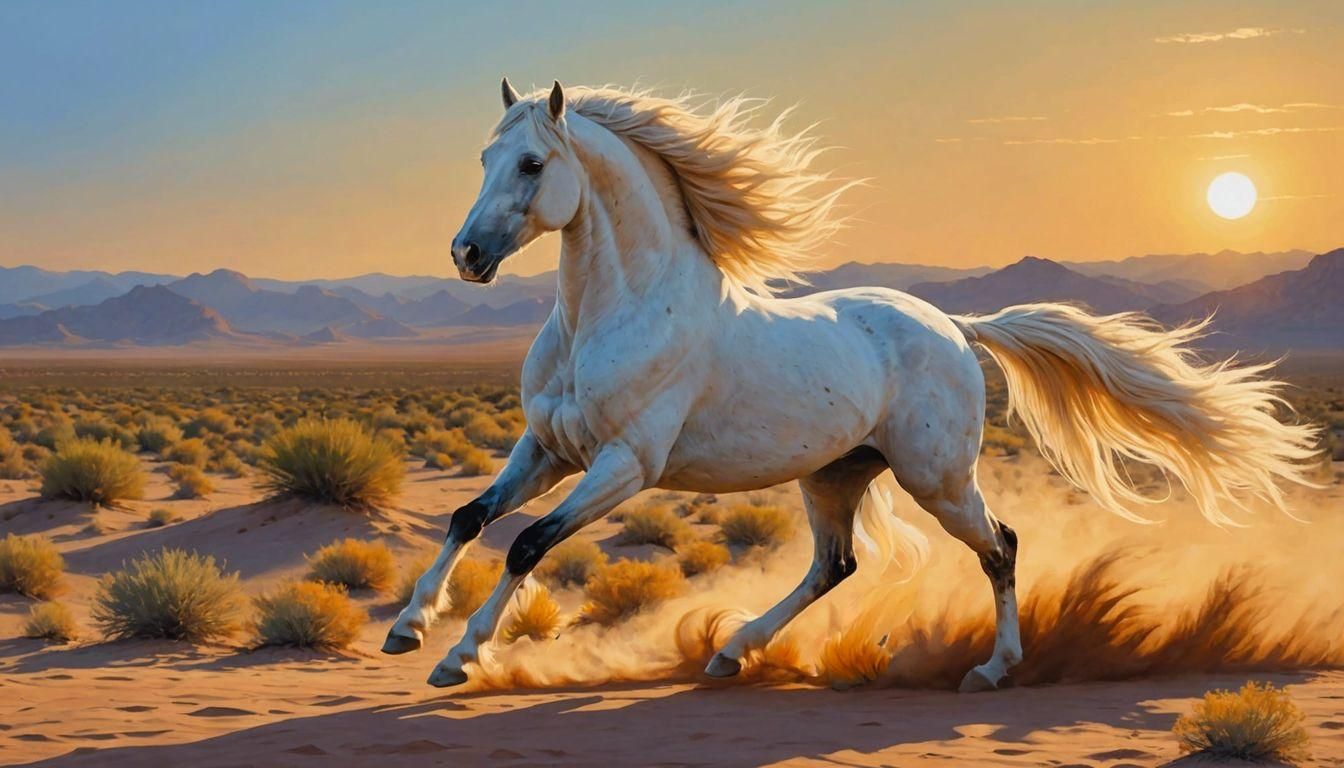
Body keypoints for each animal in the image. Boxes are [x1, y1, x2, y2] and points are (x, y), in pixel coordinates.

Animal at [382, 78, 1320, 690]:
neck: (612, 314)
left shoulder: (624, 465)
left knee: (1001, 546)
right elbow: (470, 516)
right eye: (485, 157)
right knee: (835, 566)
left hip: (936, 478)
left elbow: (529, 544)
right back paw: (731, 651)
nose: (467, 255)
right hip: (834, 474)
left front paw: (457, 657)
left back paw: (993, 670)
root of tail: (956, 327)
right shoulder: (547, 448)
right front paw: (405, 628)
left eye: (532, 165)